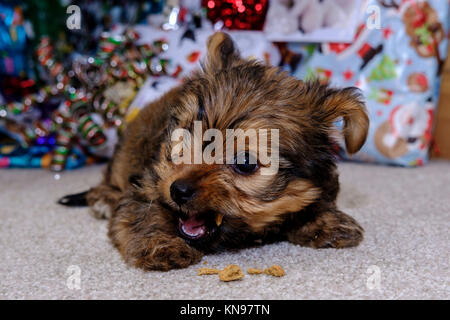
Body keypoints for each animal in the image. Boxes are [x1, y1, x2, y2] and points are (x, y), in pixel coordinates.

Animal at [59, 32, 370, 272]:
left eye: (245, 162)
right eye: (183, 138)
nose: (178, 190)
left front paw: (324, 220)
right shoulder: (148, 182)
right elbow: (141, 213)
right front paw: (160, 244)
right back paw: (103, 198)